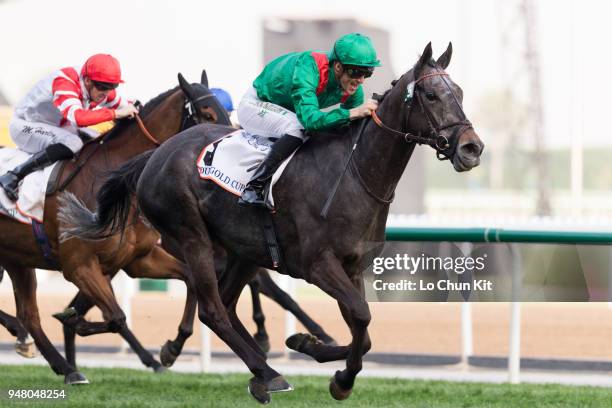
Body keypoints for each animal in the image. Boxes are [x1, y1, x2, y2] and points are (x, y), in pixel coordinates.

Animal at [0, 70, 230, 382]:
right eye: (207, 114)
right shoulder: (79, 265)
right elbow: (116, 317)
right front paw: (74, 319)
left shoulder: (139, 259)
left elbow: (191, 281)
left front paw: (171, 349)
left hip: (17, 260)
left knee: (29, 316)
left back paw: (64, 367)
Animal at [59, 42, 486, 402]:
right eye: (431, 95)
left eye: (461, 93)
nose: (472, 148)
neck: (353, 174)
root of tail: (155, 154)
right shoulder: (317, 265)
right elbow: (362, 317)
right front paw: (337, 376)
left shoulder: (352, 267)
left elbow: (361, 329)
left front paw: (310, 349)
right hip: (192, 236)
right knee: (212, 309)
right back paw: (266, 373)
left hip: (243, 250)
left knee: (227, 304)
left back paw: (260, 373)